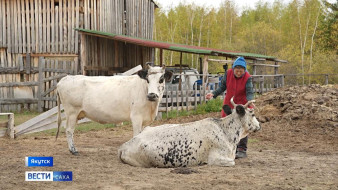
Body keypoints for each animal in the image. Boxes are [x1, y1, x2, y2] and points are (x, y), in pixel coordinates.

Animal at [117, 98, 260, 168]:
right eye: (252, 114)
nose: (259, 126)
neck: (225, 131)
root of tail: (124, 146)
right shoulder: (215, 158)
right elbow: (232, 162)